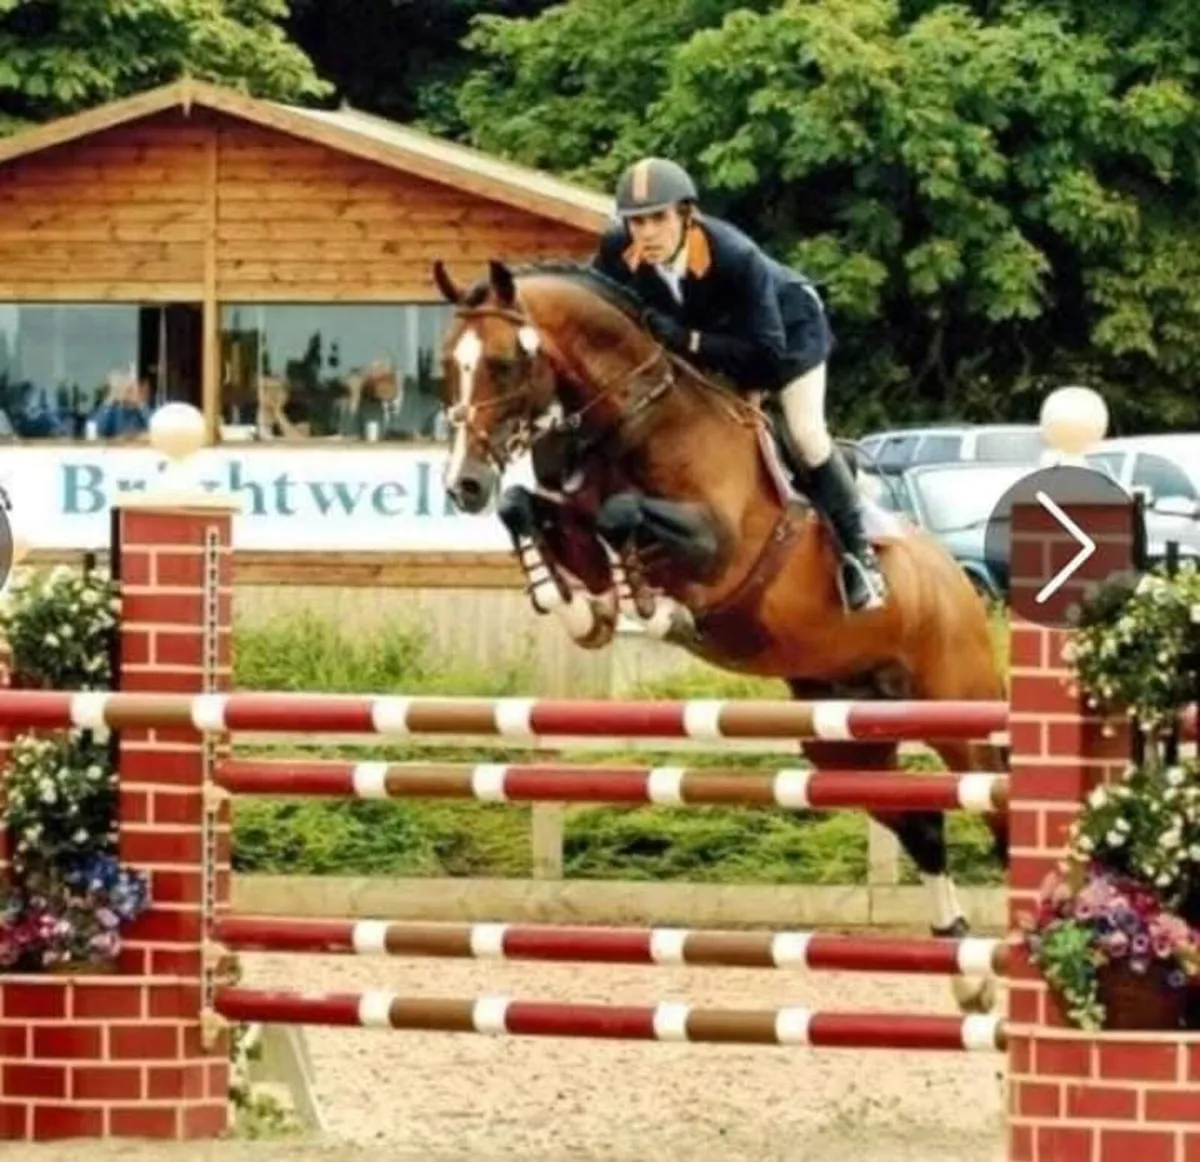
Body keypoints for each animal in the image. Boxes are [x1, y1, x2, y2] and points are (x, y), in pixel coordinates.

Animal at [432, 257, 1009, 1013]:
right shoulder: (572, 521)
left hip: (955, 709)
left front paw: (648, 607)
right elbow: (529, 509)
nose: (462, 484)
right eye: (448, 364)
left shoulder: (721, 550)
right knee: (922, 825)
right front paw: (585, 609)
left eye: (503, 363)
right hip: (840, 732)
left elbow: (622, 516)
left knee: (998, 810)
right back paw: (967, 973)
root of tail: (955, 580)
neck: (633, 422)